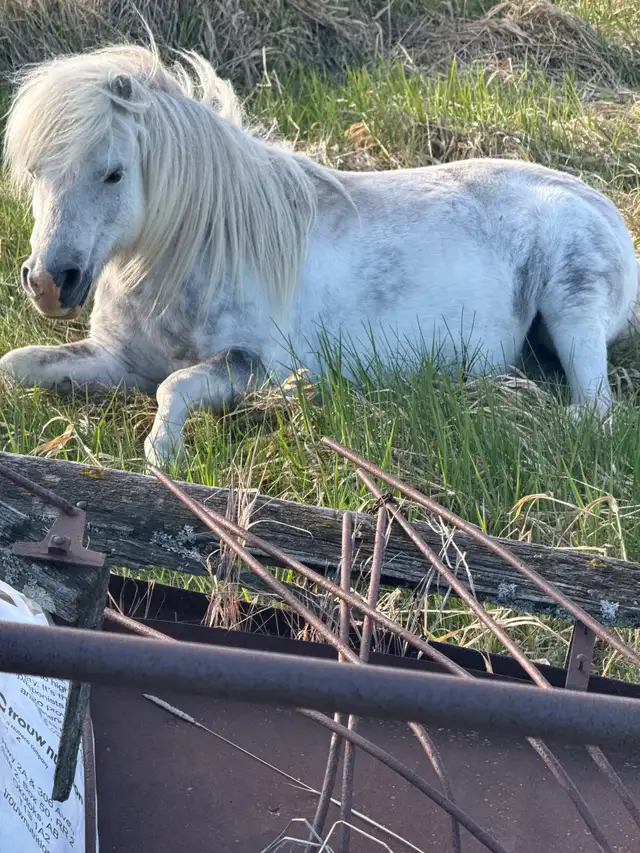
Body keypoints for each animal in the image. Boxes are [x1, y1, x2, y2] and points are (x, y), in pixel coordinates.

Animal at [1, 44, 638, 468]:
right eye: (35, 170)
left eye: (114, 173)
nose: (49, 283)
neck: (197, 251)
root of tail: (600, 205)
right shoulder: (118, 360)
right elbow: (19, 364)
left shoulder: (252, 365)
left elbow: (174, 386)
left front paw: (164, 454)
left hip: (573, 313)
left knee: (594, 410)